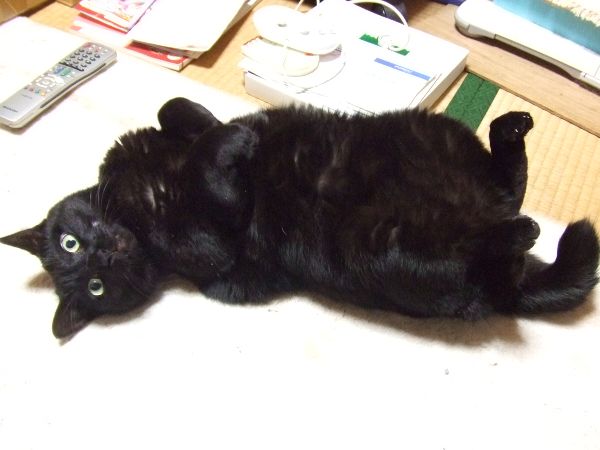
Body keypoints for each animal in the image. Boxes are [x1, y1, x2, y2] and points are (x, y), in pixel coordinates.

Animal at [1, 97, 598, 339]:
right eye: (95, 287)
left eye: (70, 241)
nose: (103, 253)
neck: (135, 195)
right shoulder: (208, 248)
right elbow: (209, 174)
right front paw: (234, 144)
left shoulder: (163, 135)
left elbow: (178, 111)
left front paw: (227, 129)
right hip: (391, 246)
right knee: (496, 236)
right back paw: (518, 231)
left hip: (433, 131)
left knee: (509, 186)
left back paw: (511, 129)